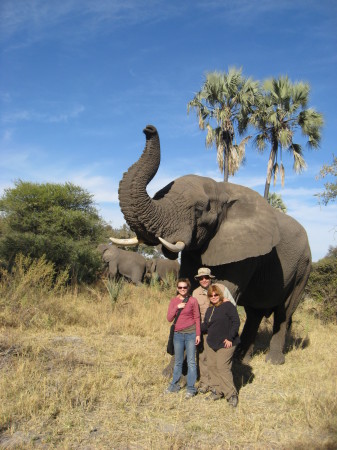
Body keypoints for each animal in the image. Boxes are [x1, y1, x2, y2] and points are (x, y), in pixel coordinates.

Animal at [111, 125, 312, 364]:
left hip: (303, 268)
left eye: (199, 210)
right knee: (254, 313)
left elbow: (225, 290)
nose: (148, 129)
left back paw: (272, 361)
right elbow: (190, 287)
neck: (223, 189)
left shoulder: (246, 251)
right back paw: (242, 359)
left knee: (284, 312)